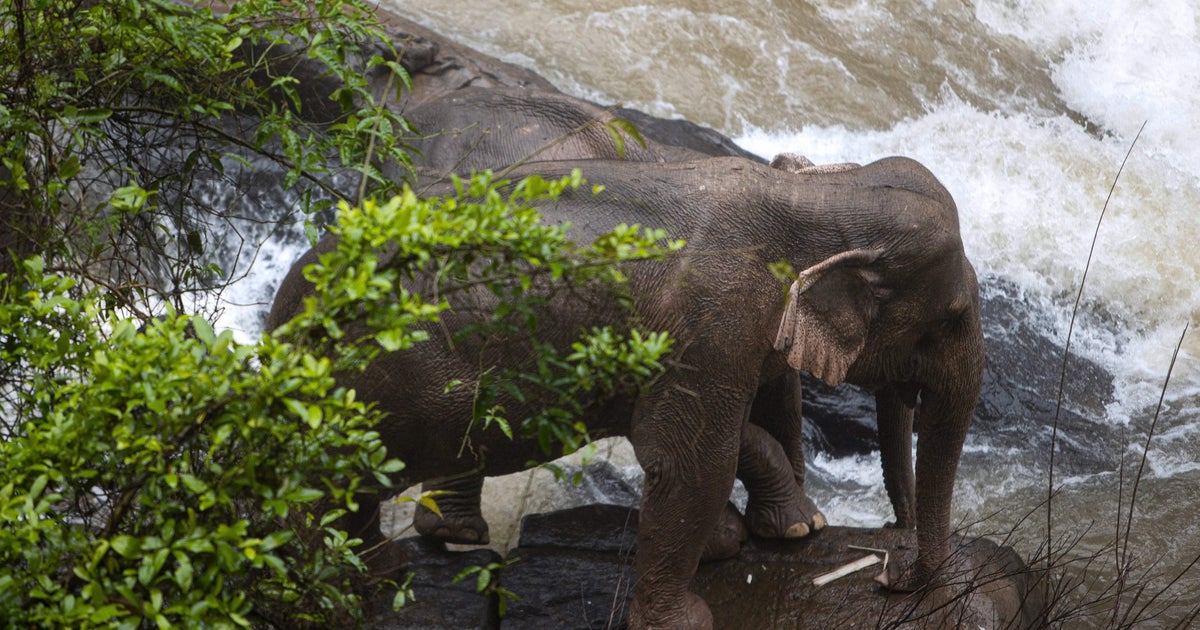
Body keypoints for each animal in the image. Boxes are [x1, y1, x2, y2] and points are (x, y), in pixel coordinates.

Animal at [267, 154, 984, 629]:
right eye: (951, 316)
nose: (889, 572)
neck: (815, 192)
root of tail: (286, 311)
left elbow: (739, 424)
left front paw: (773, 532)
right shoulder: (713, 321)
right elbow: (688, 459)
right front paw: (690, 614)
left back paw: (394, 563)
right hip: (398, 378)